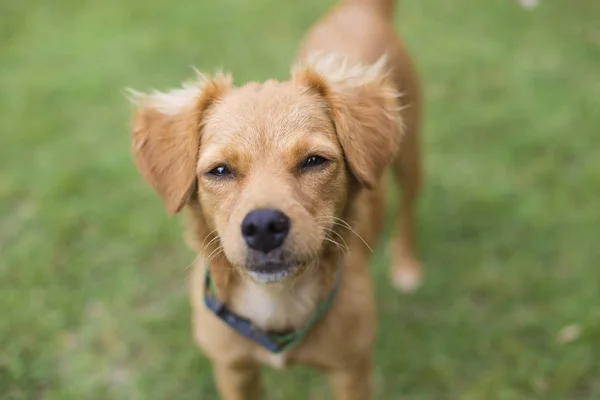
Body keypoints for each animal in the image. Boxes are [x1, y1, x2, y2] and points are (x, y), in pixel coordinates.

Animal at [130, 0, 422, 396]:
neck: (277, 302)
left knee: (408, 206)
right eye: (219, 170)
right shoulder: (234, 371)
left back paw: (406, 264)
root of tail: (359, 9)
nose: (264, 226)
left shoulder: (353, 372)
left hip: (410, 156)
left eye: (314, 161)